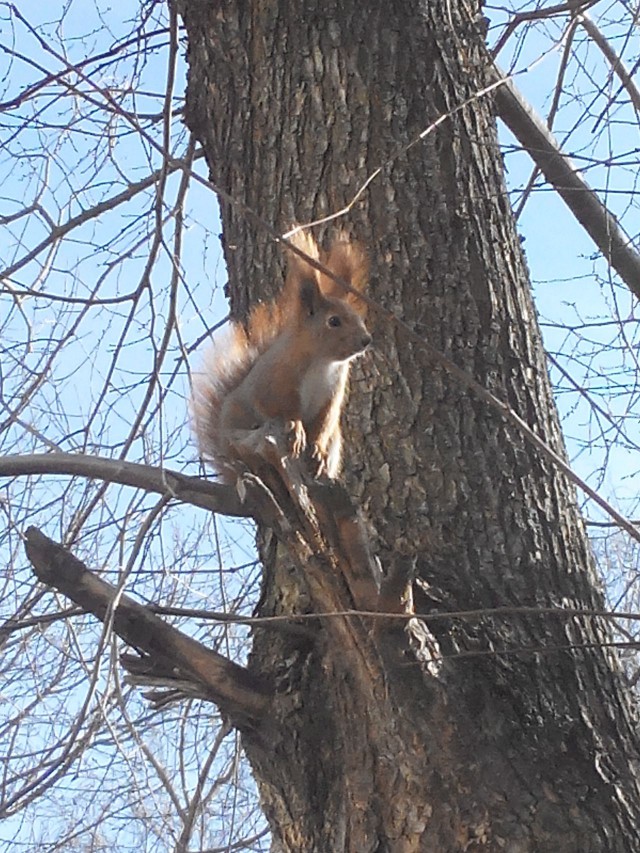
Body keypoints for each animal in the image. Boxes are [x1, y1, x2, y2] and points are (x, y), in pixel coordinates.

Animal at [192, 231, 371, 483]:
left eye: (356, 315)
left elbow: (324, 422)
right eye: (334, 321)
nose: (366, 340)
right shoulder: (276, 381)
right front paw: (295, 428)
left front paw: (317, 449)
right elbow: (280, 408)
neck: (322, 361)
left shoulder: (333, 392)